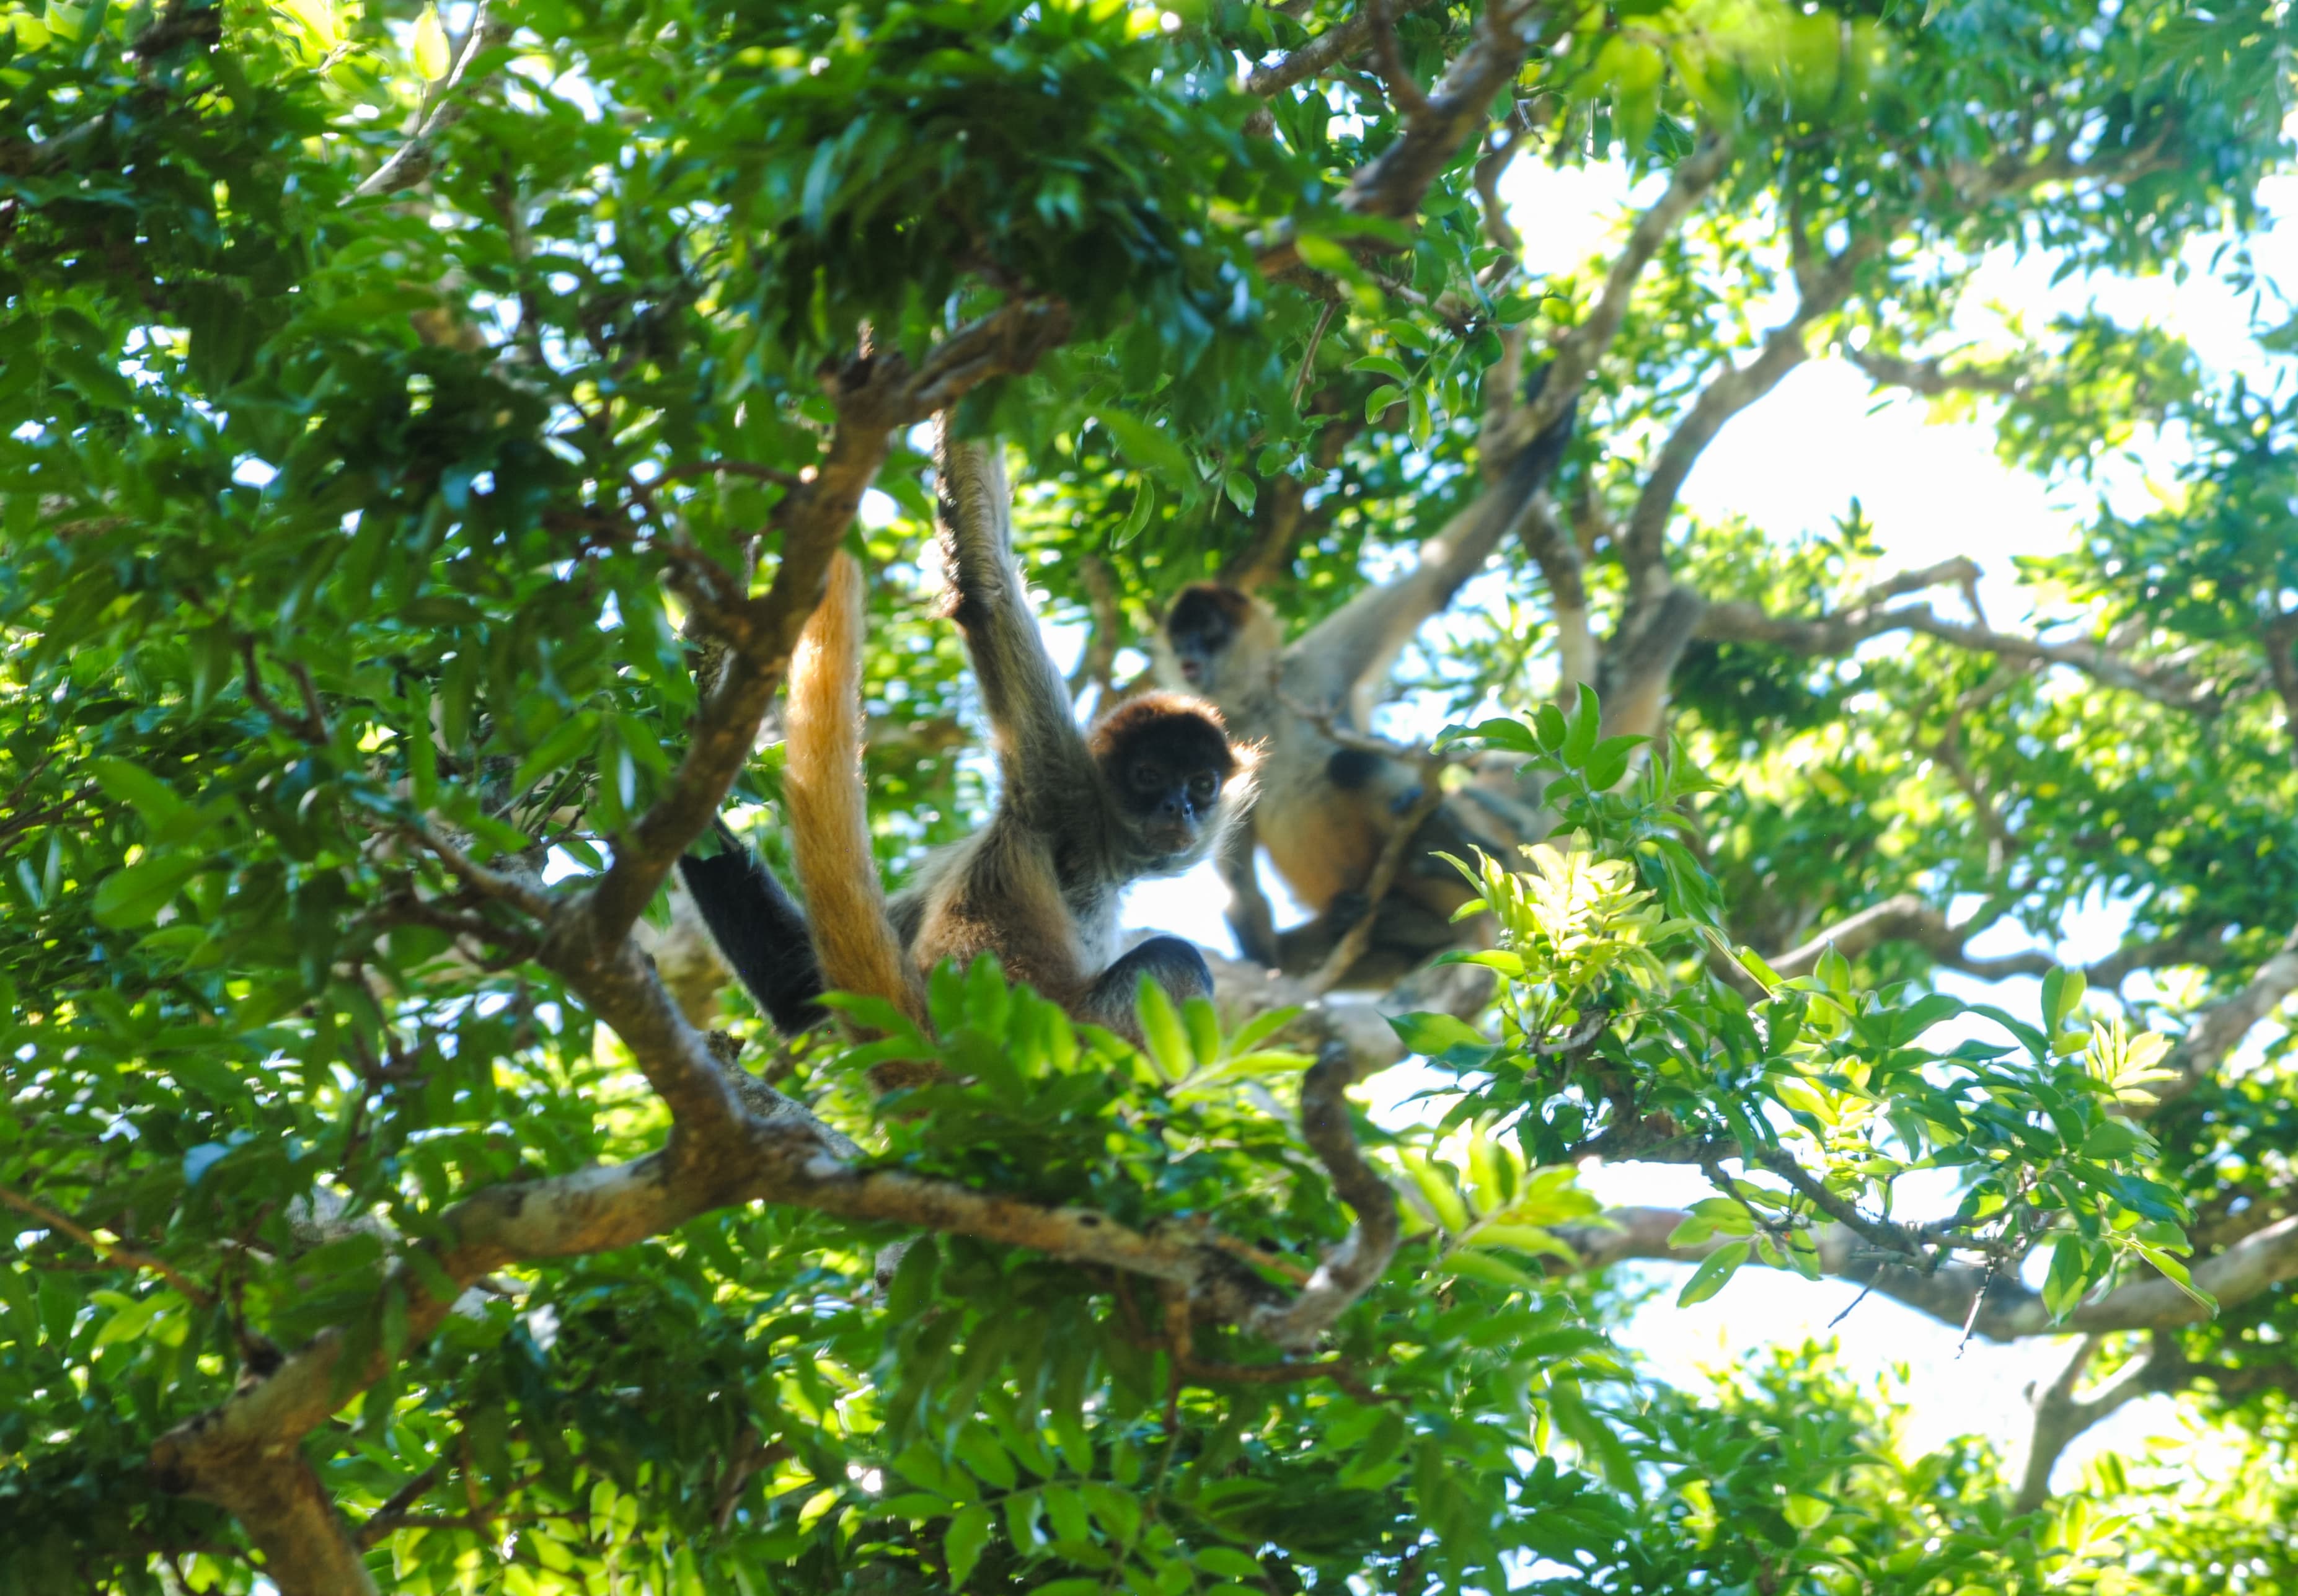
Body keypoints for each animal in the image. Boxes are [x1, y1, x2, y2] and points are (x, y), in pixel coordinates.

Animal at [679, 431, 1256, 1047]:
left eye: (1202, 784)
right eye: (1148, 777)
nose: (1179, 806)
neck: (1103, 850)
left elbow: (794, 985)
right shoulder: (1059, 787)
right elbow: (986, 588)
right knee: (1174, 957)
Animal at [1155, 367, 1578, 987]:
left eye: (1206, 634)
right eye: (1179, 639)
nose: (1186, 656)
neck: (1260, 705)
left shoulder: (1316, 662)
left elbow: (1440, 577)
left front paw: (1549, 436)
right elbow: (1238, 881)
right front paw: (1264, 969)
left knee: (1352, 763)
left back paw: (1460, 851)